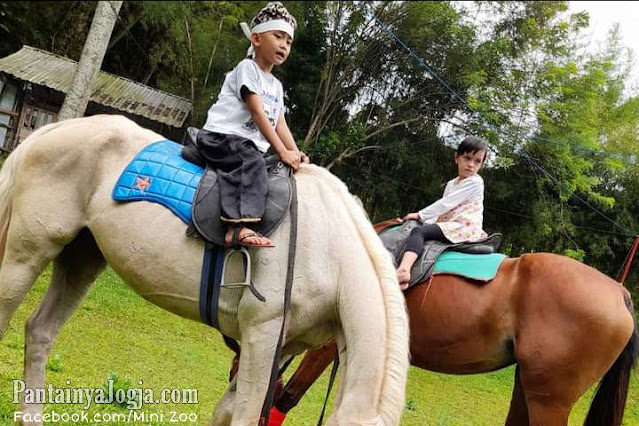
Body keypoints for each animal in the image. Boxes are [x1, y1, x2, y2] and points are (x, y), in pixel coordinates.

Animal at [0, 115, 410, 424]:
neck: (329, 247)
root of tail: (54, 128)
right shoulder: (261, 335)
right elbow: (244, 415)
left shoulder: (280, 347)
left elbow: (226, 412)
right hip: (27, 253)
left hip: (81, 260)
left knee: (40, 332)